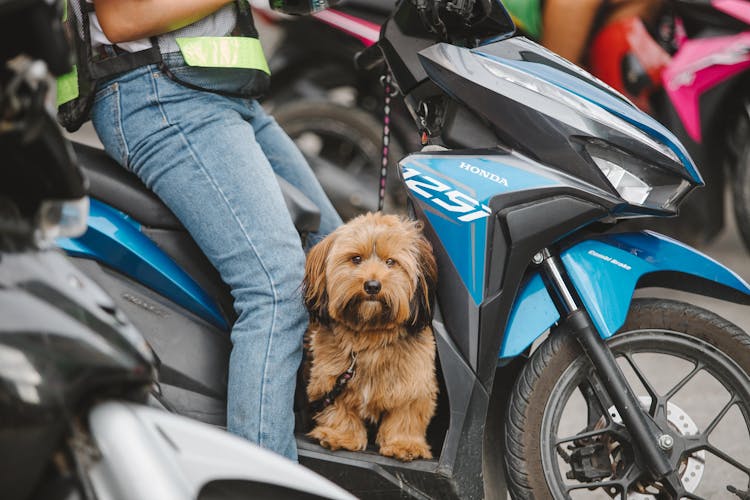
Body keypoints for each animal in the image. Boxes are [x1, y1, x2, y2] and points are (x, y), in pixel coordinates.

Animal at [302, 211, 438, 460]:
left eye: (390, 262)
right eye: (356, 259)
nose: (373, 285)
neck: (370, 337)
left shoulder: (414, 383)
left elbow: (406, 413)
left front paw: (404, 444)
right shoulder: (329, 382)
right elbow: (340, 410)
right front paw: (340, 436)